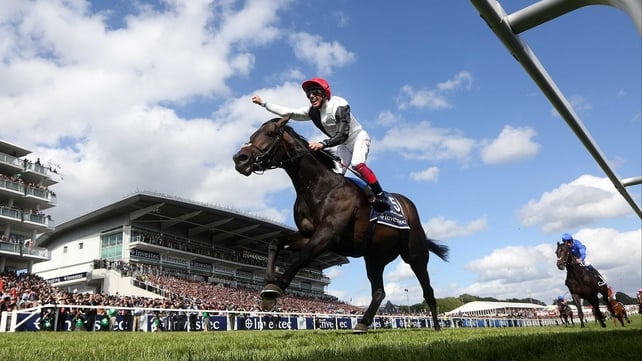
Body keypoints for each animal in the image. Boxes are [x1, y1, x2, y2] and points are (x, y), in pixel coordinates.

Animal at [232, 116, 448, 332]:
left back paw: (437, 327)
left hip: (415, 255)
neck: (319, 187)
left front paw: (274, 289)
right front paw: (268, 280)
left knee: (428, 290)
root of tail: (408, 205)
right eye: (252, 135)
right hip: (374, 257)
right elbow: (275, 242)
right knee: (379, 291)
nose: (239, 158)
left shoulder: (327, 234)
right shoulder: (308, 234)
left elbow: (303, 257)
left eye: (269, 134)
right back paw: (362, 323)